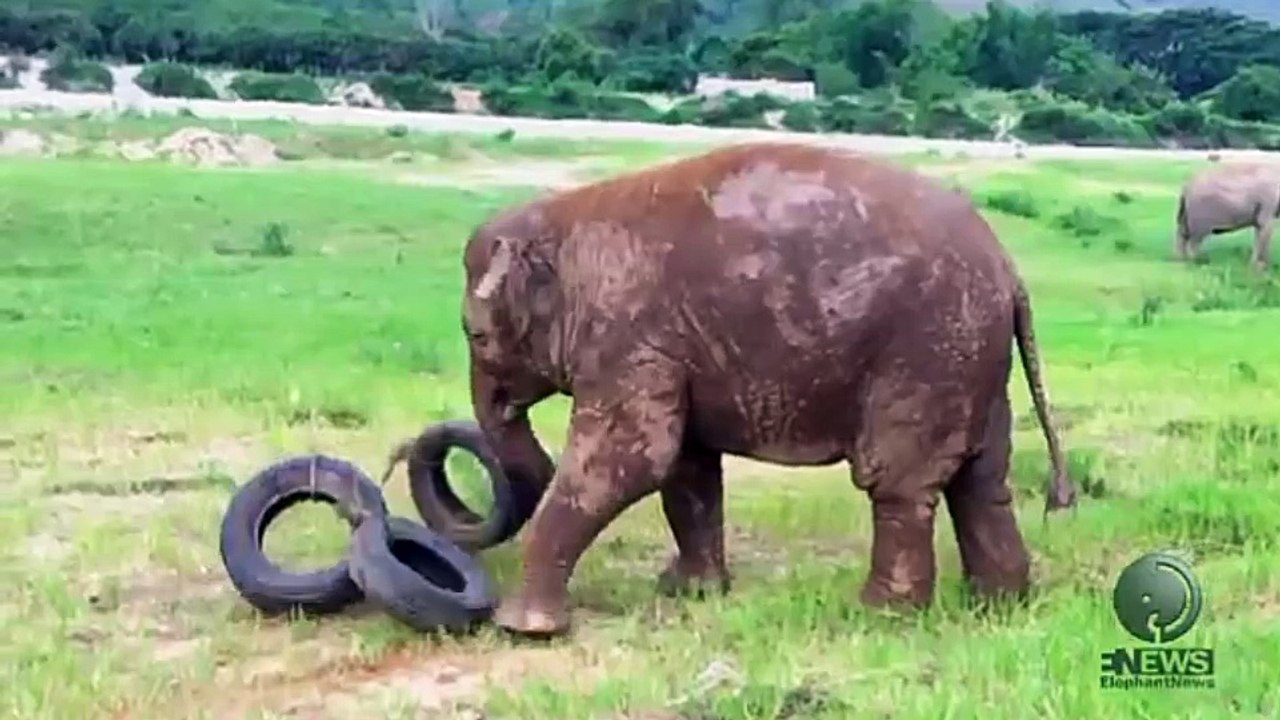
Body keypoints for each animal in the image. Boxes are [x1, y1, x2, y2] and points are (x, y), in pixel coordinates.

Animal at [445, 141, 1077, 637]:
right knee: (982, 479)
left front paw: (522, 629)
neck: (565, 218)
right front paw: (691, 593)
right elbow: (686, 468)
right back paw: (998, 606)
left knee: (897, 483)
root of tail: (1008, 269)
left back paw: (879, 617)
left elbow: (628, 462)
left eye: (475, 335)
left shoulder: (629, 337)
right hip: (973, 358)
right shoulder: (672, 347)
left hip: (928, 349)